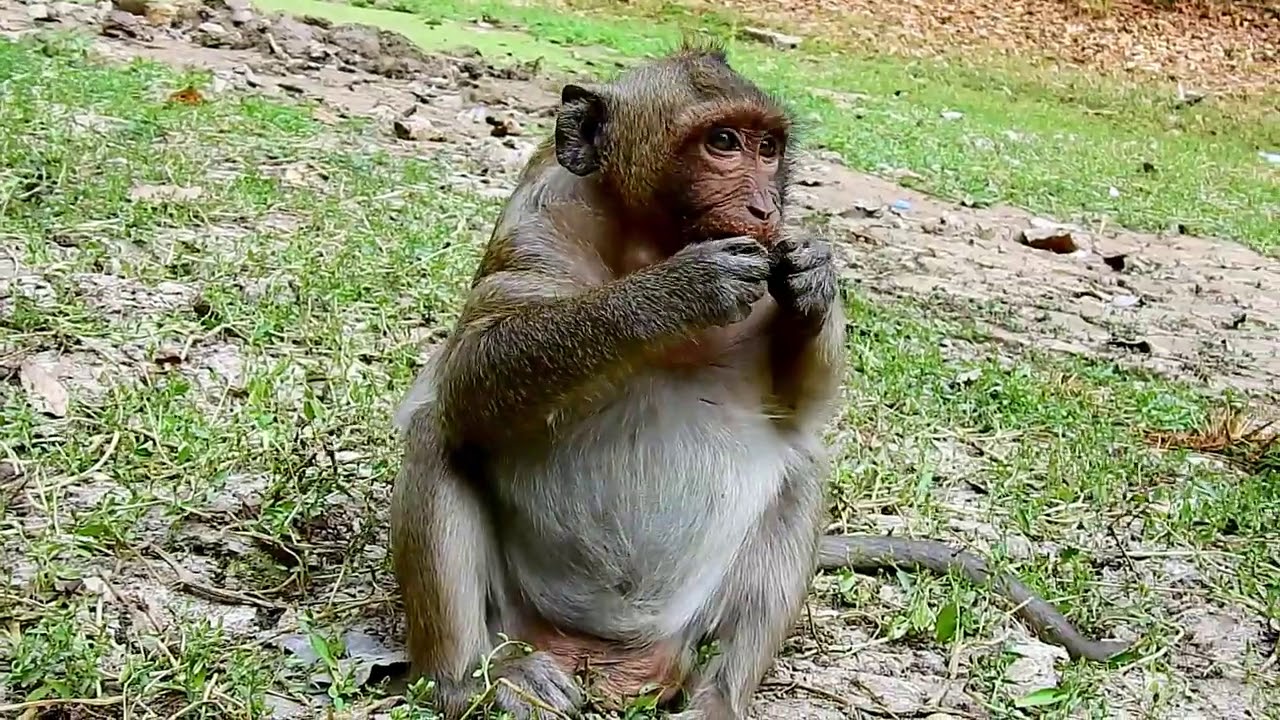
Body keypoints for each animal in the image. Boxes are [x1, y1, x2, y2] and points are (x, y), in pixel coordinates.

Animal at [389, 41, 1130, 720]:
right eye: (722, 142)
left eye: (768, 148)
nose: (763, 208)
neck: (645, 240)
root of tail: (609, 662)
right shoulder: (541, 217)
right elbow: (471, 376)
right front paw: (680, 289)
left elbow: (799, 408)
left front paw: (816, 276)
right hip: (515, 620)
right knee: (437, 434)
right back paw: (477, 681)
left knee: (801, 471)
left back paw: (721, 699)